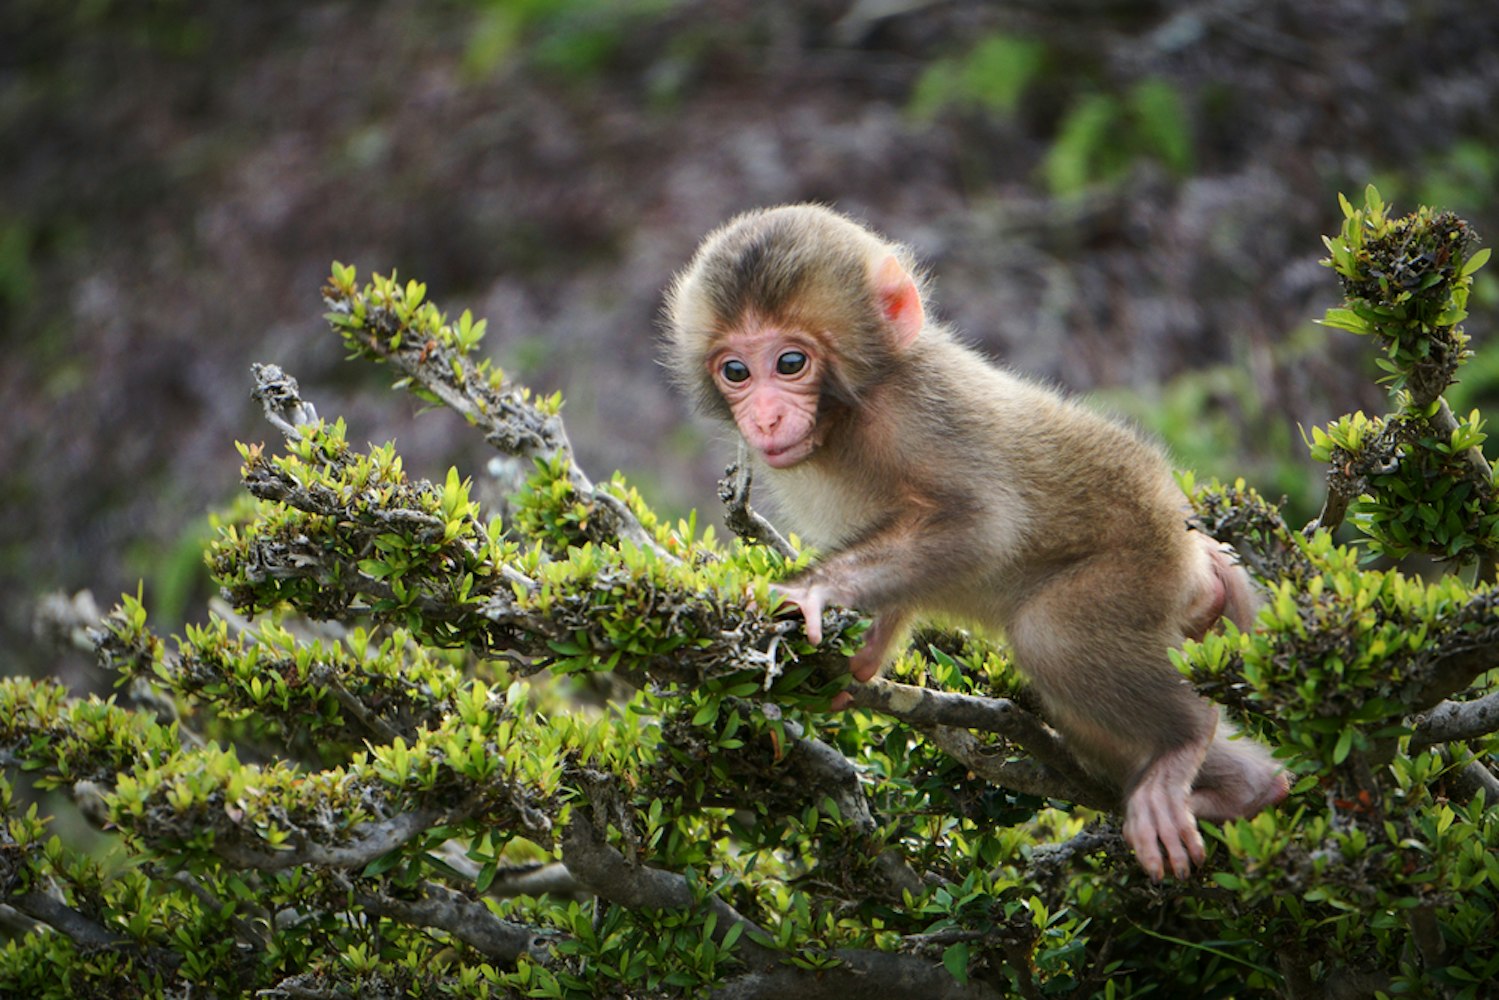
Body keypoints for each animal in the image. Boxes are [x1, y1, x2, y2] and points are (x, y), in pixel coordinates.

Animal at [665, 205, 1289, 881]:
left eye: (789, 363)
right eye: (735, 371)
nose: (765, 419)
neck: (848, 417)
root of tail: (1193, 548)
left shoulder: (914, 416)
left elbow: (986, 525)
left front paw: (814, 589)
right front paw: (868, 653)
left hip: (1144, 562)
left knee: (1053, 635)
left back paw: (1184, 742)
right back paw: (1249, 788)